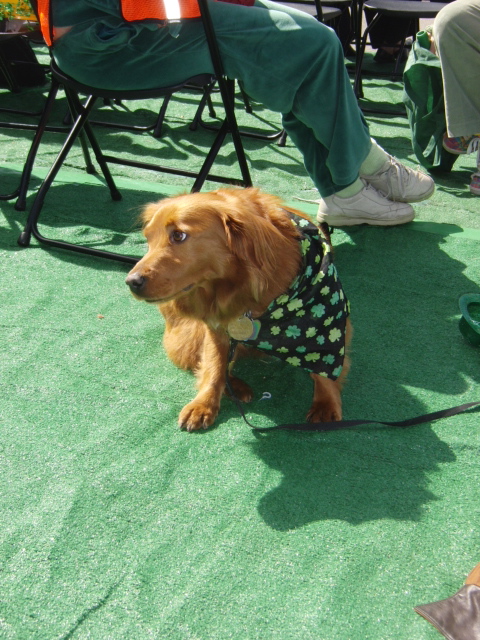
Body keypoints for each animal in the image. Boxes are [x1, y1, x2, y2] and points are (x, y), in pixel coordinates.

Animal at [126, 188, 352, 432]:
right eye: (148, 238)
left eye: (178, 236)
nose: (131, 282)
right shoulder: (216, 328)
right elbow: (215, 366)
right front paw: (204, 403)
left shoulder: (331, 323)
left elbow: (327, 367)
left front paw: (326, 402)